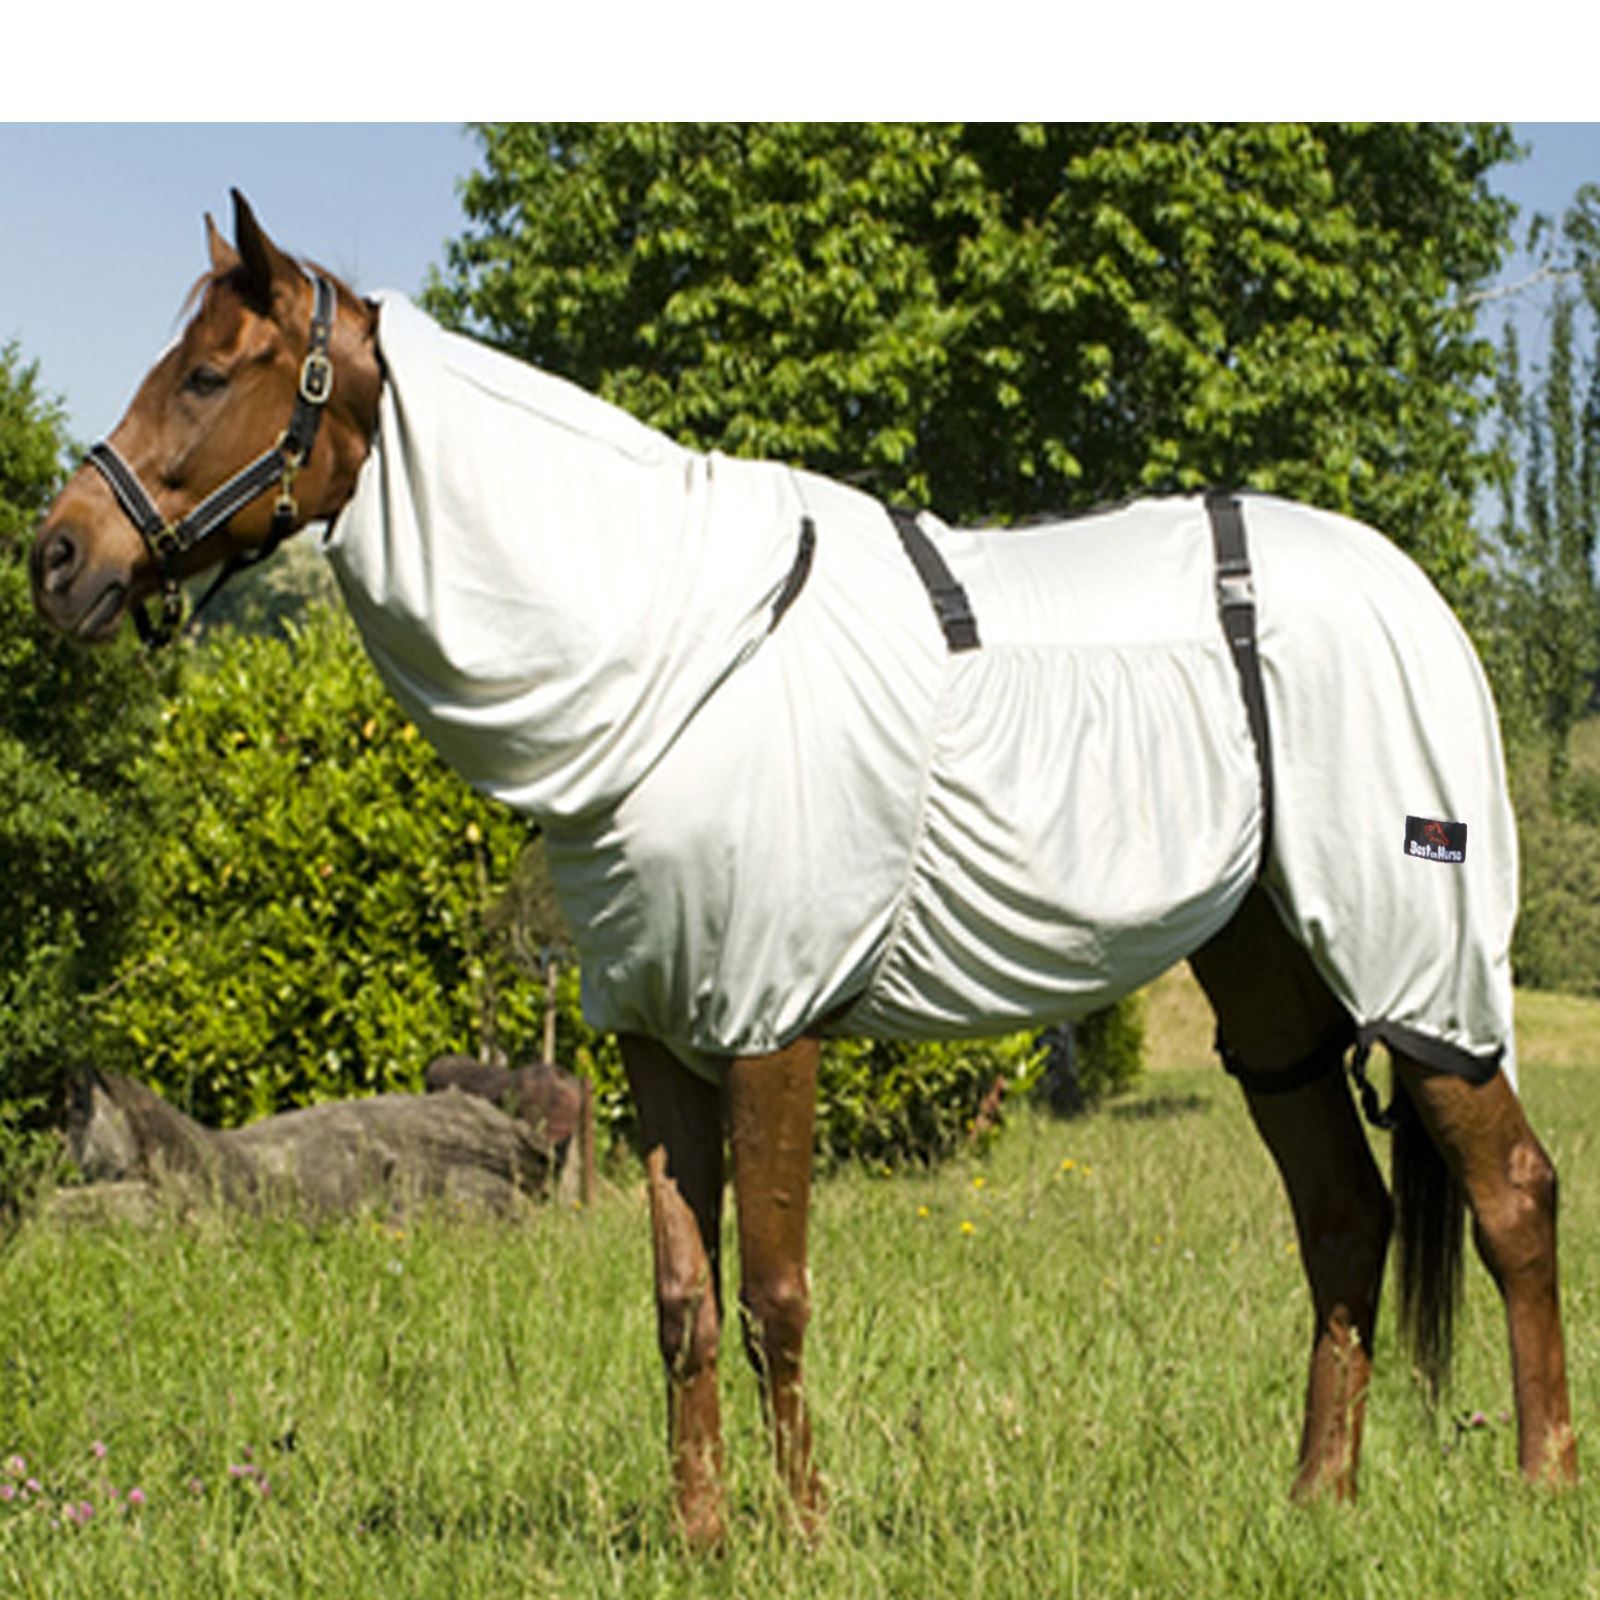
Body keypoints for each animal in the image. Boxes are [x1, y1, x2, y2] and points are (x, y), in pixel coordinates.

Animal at [29, 192, 1576, 1547]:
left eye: (208, 372)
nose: (58, 555)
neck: (668, 649)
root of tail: (1412, 595)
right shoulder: (657, 1034)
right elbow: (683, 1301)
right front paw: (704, 1536)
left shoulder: (772, 1018)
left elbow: (776, 1289)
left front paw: (805, 1533)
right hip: (1266, 980)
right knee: (1345, 1218)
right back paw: (1317, 1501)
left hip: (1414, 960)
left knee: (1512, 1197)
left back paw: (1541, 1487)